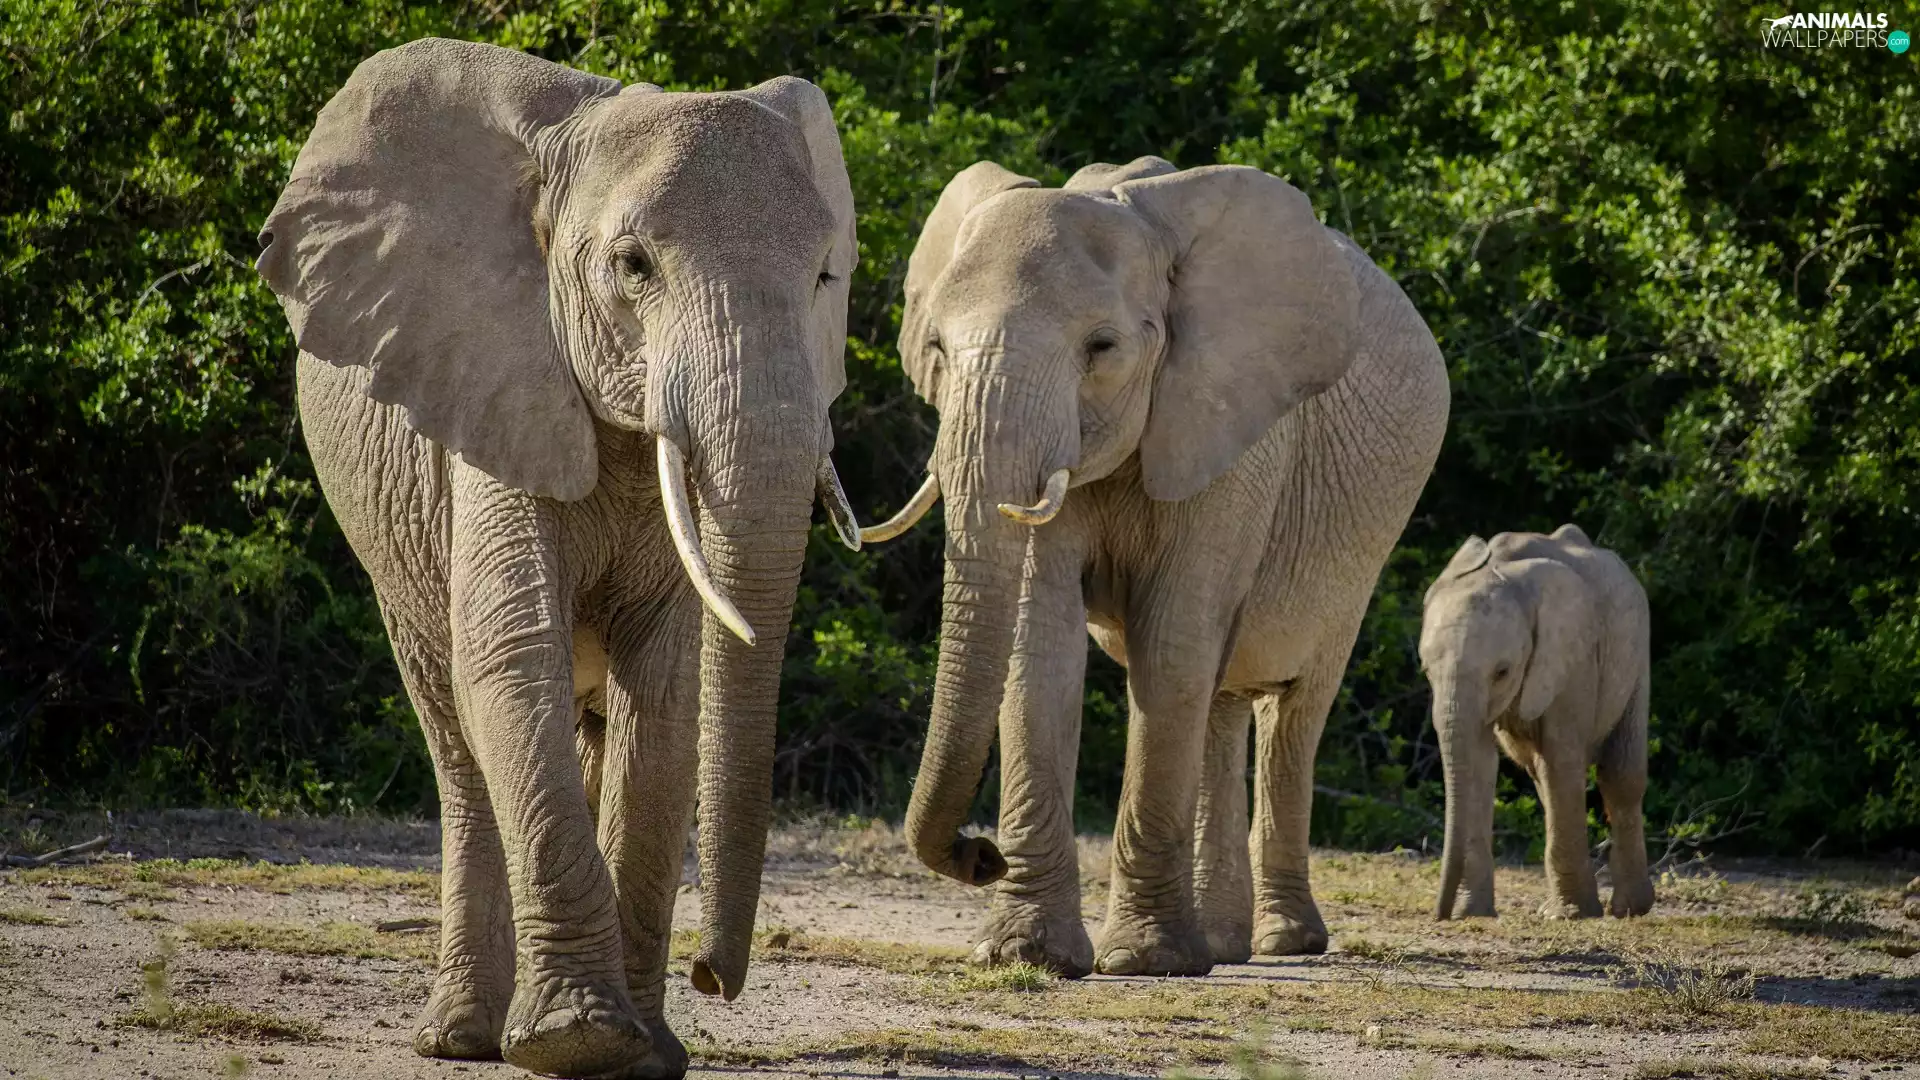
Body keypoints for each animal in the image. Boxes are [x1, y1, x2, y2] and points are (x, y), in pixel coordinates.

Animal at [255, 39, 862, 1078]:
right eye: (632, 265)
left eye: (828, 274)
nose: (713, 976)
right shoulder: (493, 388)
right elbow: (510, 657)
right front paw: (577, 1040)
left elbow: (665, 690)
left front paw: (643, 1052)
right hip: (393, 555)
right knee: (455, 734)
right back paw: (461, 1037)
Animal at [860, 156, 1450, 976]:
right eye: (938, 350)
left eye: (1102, 348)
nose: (980, 854)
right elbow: (1039, 645)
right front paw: (1025, 954)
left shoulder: (1233, 432)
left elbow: (1170, 647)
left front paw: (1145, 961)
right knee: (1221, 698)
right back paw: (1225, 945)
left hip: (1365, 546)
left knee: (1293, 707)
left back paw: (1284, 941)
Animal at [1419, 525, 1655, 921]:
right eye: (1425, 670)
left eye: (1502, 672)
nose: (1439, 915)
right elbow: (1479, 762)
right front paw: (1472, 913)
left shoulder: (1572, 657)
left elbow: (1561, 758)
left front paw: (1573, 914)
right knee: (1541, 777)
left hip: (1637, 652)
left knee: (1619, 773)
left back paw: (1628, 908)